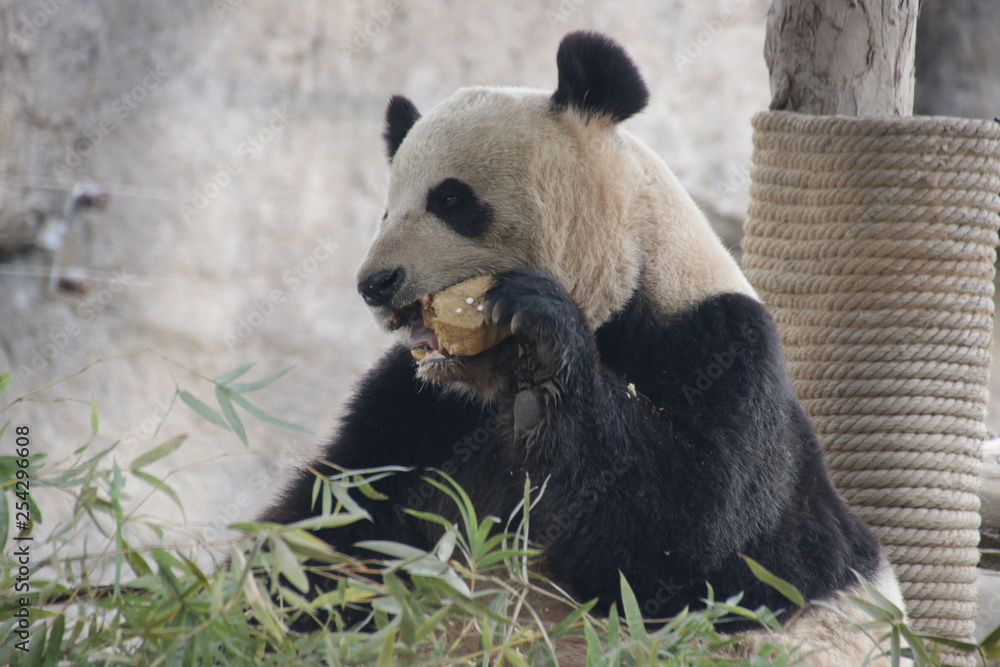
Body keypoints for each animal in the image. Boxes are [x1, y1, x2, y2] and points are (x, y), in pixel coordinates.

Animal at [261, 31, 906, 664]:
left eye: (450, 199)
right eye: (387, 210)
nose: (375, 283)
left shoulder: (725, 350)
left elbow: (697, 537)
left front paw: (545, 347)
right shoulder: (421, 406)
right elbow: (337, 518)